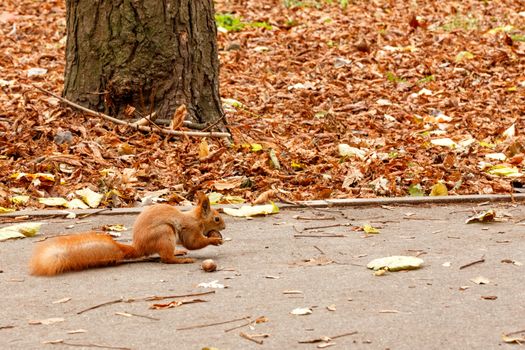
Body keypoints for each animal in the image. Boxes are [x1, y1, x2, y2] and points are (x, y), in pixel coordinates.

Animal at [28, 191, 224, 276]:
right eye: (216, 218)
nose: (224, 227)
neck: (197, 219)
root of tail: (139, 247)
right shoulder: (190, 229)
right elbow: (193, 243)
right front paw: (214, 240)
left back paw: (179, 252)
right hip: (165, 233)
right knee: (166, 258)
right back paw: (181, 259)